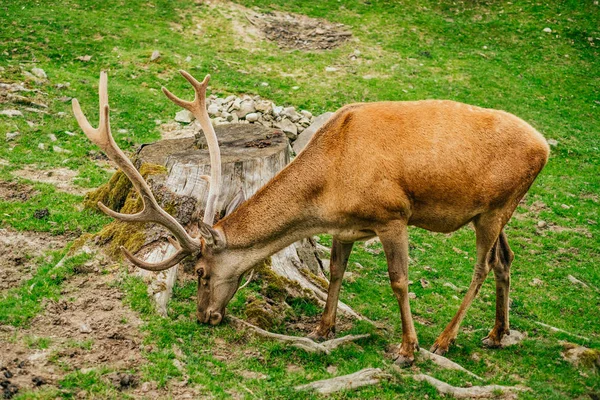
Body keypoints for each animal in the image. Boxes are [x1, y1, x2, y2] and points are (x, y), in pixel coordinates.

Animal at [71, 70, 548, 364]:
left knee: (483, 265)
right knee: (506, 259)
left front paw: (406, 350)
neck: (330, 183)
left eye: (202, 271)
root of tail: (545, 147)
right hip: (497, 210)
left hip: (496, 208)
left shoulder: (393, 214)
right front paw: (322, 329)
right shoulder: (347, 225)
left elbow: (399, 281)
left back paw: (445, 340)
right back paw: (496, 334)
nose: (204, 316)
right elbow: (335, 272)